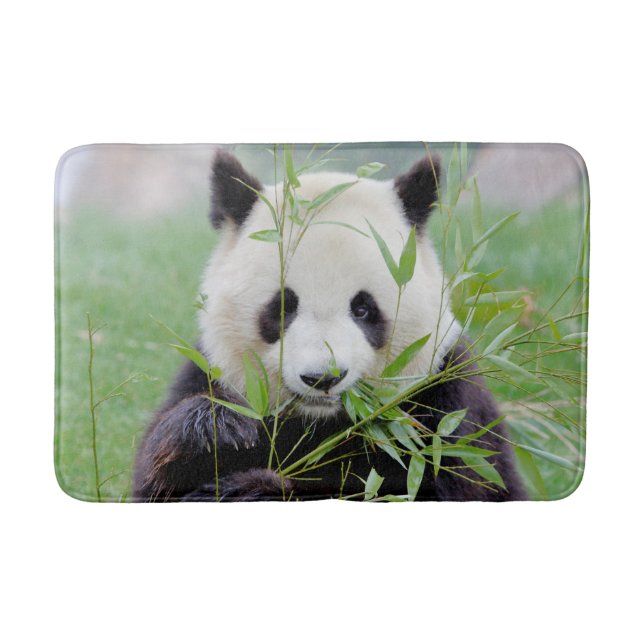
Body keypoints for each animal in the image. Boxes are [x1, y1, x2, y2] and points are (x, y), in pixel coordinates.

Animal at [133, 149, 525, 501]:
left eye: (363, 309)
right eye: (282, 307)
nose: (322, 377)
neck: (319, 422)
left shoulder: (444, 400)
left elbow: (436, 483)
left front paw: (254, 486)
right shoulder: (212, 372)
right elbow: (158, 477)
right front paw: (218, 430)